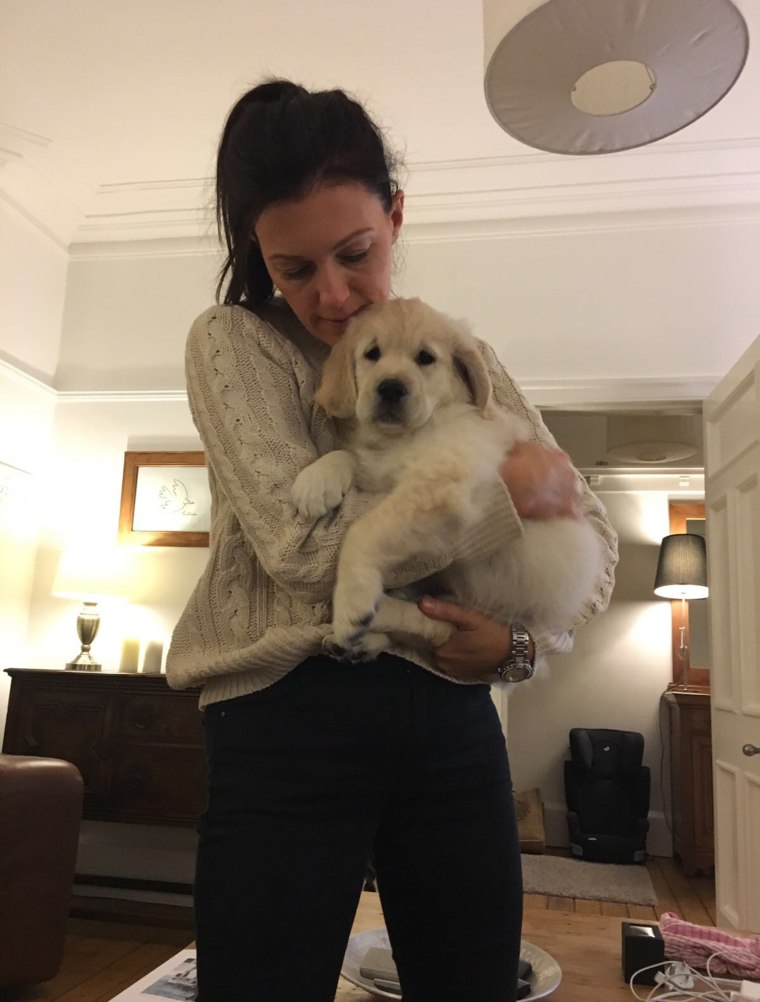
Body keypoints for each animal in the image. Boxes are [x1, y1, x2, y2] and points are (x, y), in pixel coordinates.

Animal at [290, 292, 605, 661]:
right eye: (372, 353)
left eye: (425, 358)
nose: (390, 389)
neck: (403, 437)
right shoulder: (379, 467)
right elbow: (349, 455)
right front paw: (316, 481)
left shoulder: (443, 480)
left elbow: (363, 530)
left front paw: (352, 603)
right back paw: (360, 643)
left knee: (439, 626)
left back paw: (367, 619)